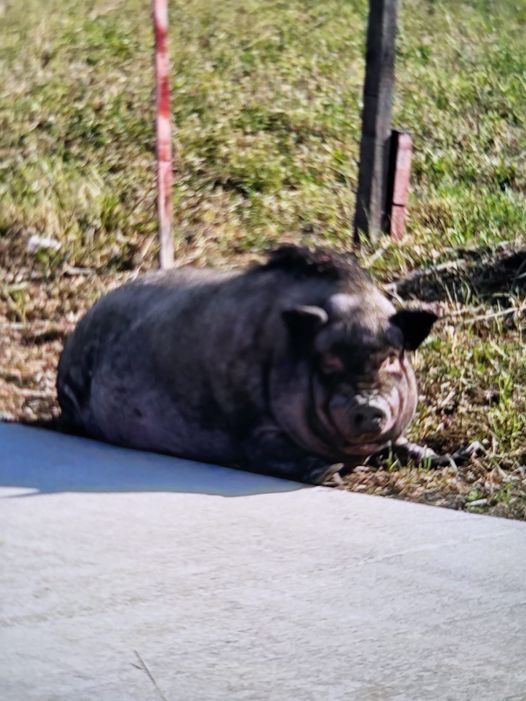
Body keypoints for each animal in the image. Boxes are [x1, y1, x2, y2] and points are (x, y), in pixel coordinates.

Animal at [56, 245, 439, 483]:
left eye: (390, 358)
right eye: (330, 361)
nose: (369, 405)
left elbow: (403, 444)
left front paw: (449, 457)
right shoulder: (252, 429)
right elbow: (268, 451)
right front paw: (328, 473)